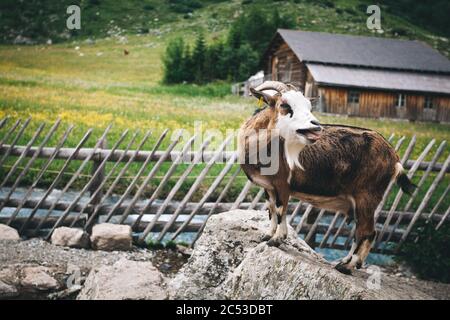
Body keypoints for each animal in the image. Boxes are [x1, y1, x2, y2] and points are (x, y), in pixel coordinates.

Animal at [237, 80, 416, 276]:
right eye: (284, 105)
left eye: (309, 106)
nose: (315, 126)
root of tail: (394, 157)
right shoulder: (268, 187)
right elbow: (270, 210)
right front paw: (268, 235)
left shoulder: (283, 184)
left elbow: (280, 209)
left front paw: (276, 240)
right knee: (359, 231)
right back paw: (345, 262)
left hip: (367, 195)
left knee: (368, 232)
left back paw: (347, 266)